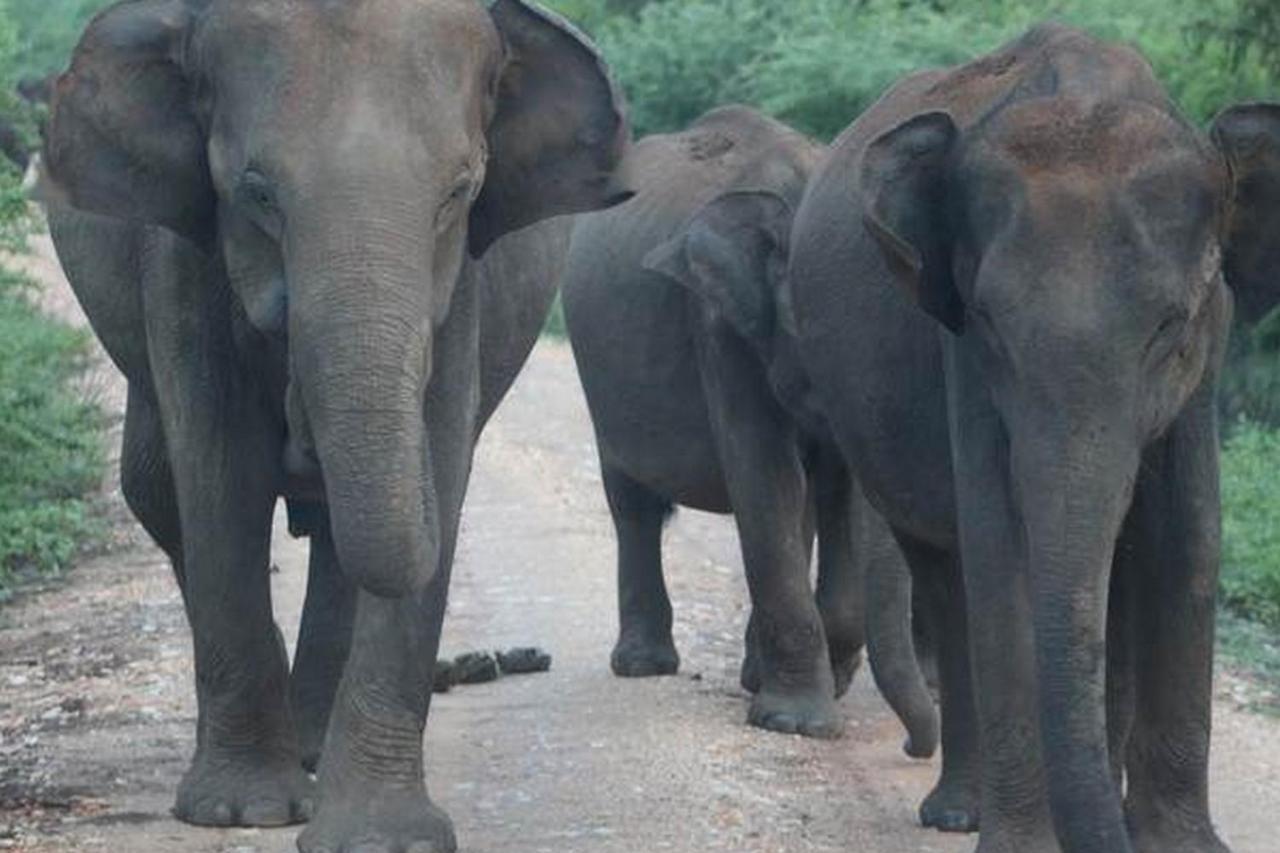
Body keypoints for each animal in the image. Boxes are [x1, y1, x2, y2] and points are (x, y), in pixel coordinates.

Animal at [42, 1, 632, 850]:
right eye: (256, 193)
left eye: (460, 192)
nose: (302, 423)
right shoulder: (180, 252)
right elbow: (220, 471)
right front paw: (243, 810)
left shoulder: (465, 283)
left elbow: (436, 453)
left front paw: (382, 837)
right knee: (157, 491)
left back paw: (317, 746)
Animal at [560, 106, 942, 753]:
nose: (917, 746)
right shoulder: (719, 324)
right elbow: (765, 474)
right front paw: (795, 724)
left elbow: (832, 493)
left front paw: (818, 685)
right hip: (600, 380)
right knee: (634, 504)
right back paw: (643, 666)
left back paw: (751, 673)